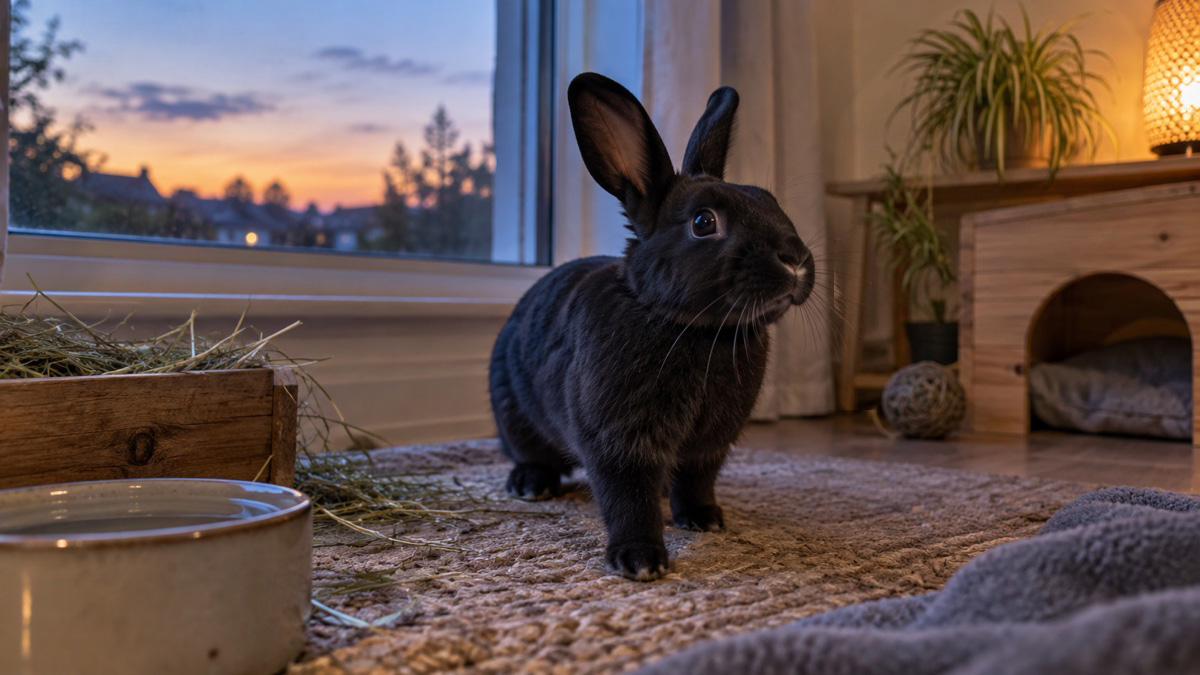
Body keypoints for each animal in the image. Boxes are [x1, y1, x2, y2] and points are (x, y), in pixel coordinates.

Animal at [488, 72, 815, 581]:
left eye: (772, 202)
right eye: (703, 222)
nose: (796, 261)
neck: (696, 330)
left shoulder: (710, 445)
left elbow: (696, 480)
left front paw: (703, 519)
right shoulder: (619, 442)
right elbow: (628, 497)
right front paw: (639, 560)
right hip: (512, 408)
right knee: (530, 451)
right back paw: (529, 484)